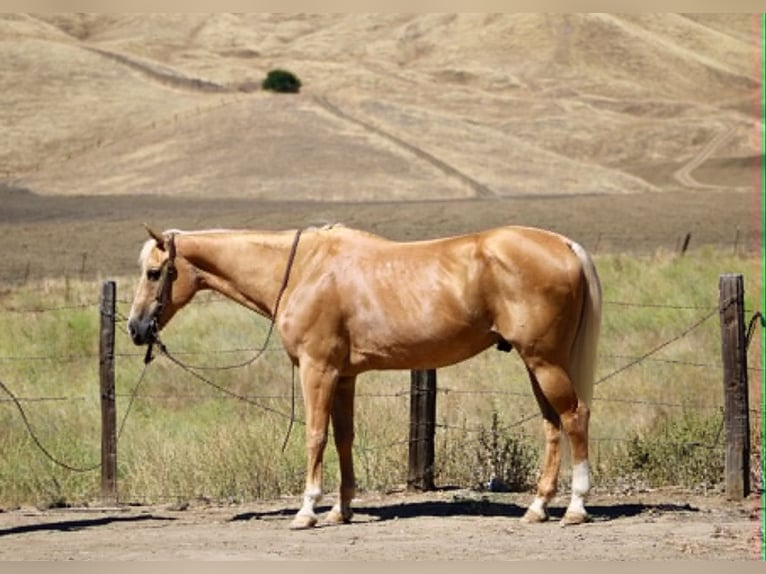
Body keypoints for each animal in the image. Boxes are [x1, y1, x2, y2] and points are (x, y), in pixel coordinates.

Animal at [127, 223, 602, 529]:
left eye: (154, 273)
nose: (135, 328)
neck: (303, 270)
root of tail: (563, 244)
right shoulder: (343, 376)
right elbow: (343, 438)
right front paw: (342, 509)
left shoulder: (318, 370)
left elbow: (315, 436)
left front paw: (307, 511)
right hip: (536, 363)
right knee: (553, 425)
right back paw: (538, 507)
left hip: (544, 360)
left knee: (574, 417)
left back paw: (576, 507)